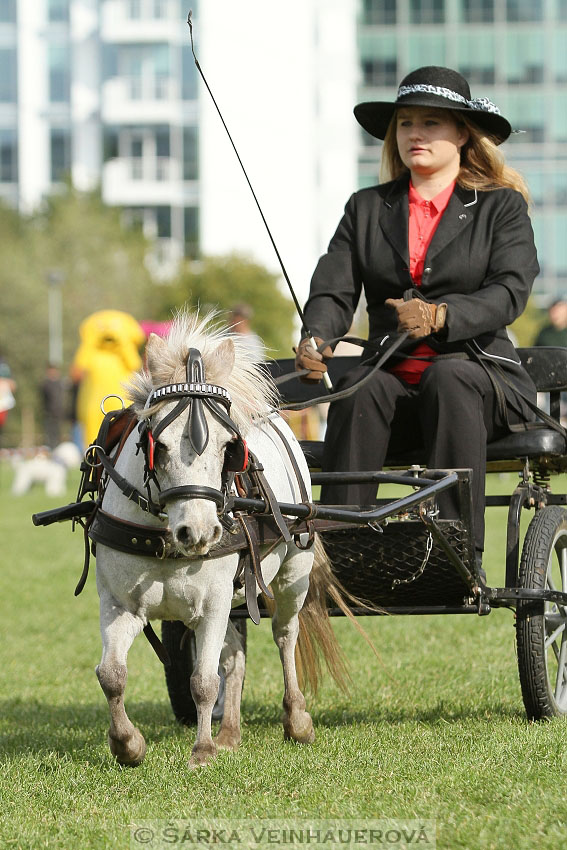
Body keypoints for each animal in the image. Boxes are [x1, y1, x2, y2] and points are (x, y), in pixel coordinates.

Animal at [94, 314, 350, 768]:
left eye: (230, 448)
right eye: (156, 445)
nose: (197, 533)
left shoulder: (212, 603)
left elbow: (202, 681)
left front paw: (202, 750)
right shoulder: (119, 603)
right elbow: (111, 675)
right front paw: (127, 745)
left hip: (291, 575)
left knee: (285, 636)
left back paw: (297, 720)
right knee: (234, 656)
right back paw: (230, 731)